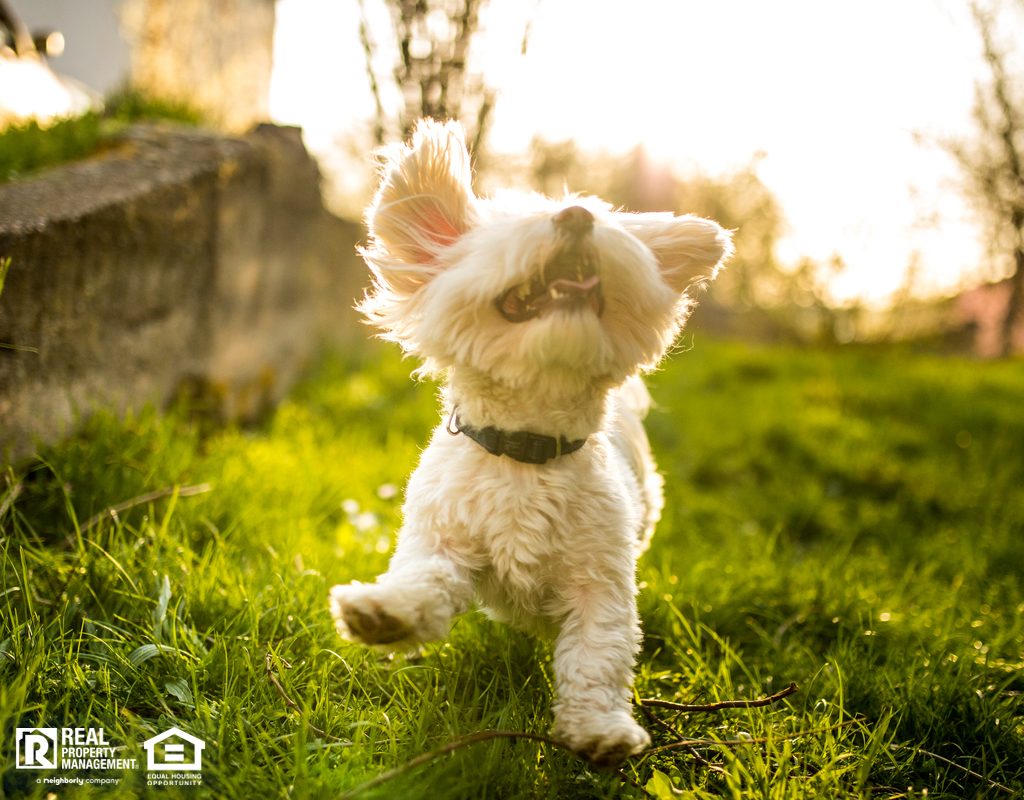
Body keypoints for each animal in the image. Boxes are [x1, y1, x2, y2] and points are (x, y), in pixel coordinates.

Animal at [327, 121, 729, 766]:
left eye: (599, 217)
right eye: (518, 225)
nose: (576, 217)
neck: (525, 450)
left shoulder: (601, 582)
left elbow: (598, 654)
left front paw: (598, 729)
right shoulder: (442, 539)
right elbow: (426, 581)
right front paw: (387, 614)